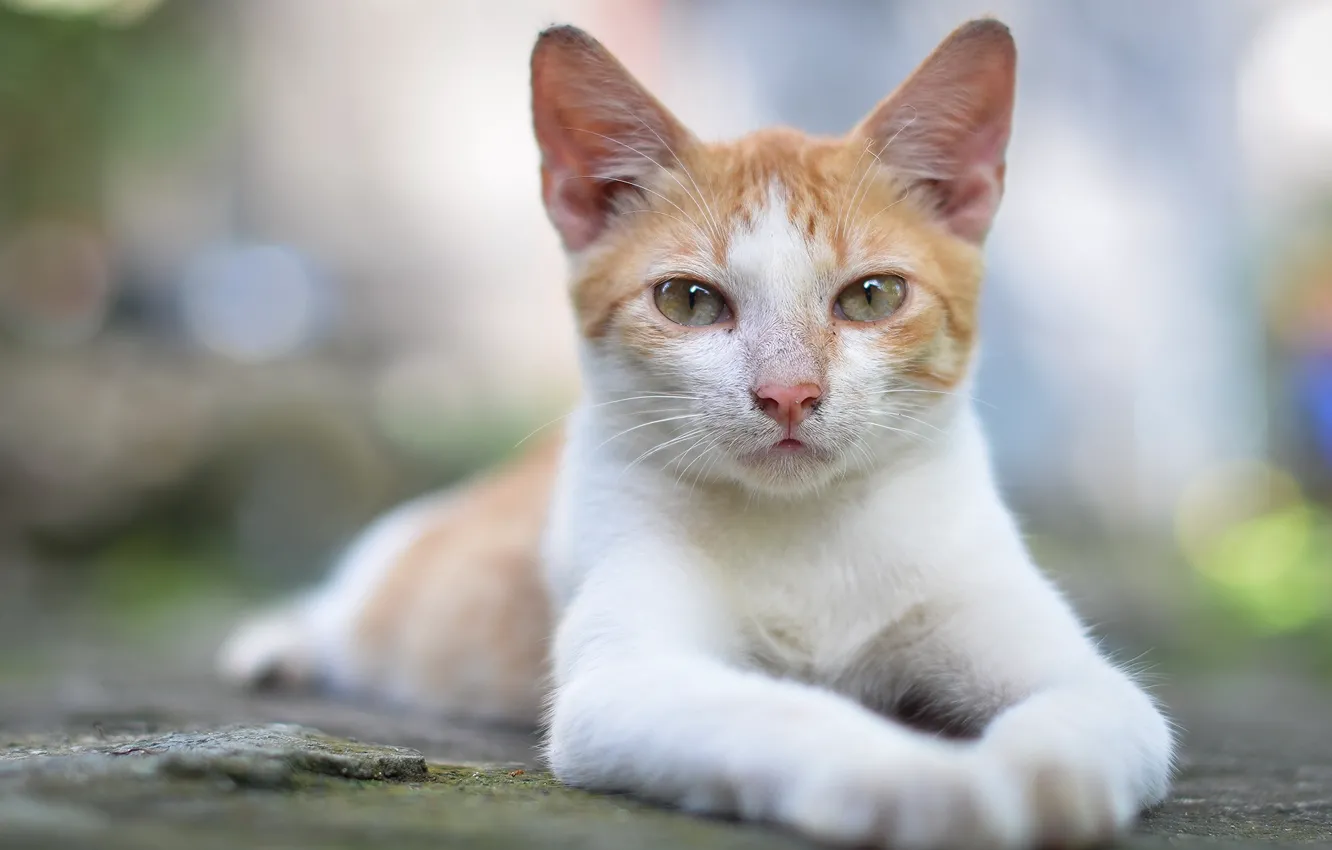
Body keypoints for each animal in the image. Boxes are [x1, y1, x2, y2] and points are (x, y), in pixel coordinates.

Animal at [218, 19, 1177, 850]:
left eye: (872, 296)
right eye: (688, 301)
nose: (789, 392)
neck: (806, 533)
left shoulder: (1059, 656)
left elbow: (1097, 710)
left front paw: (1041, 779)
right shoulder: (624, 679)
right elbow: (778, 709)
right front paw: (925, 780)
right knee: (346, 603)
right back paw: (280, 641)